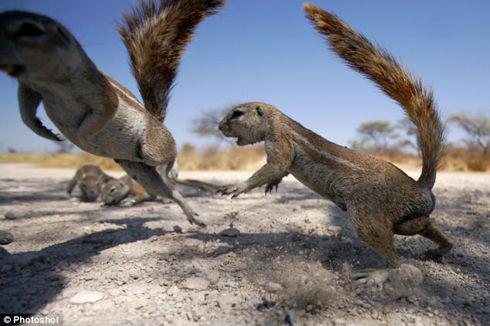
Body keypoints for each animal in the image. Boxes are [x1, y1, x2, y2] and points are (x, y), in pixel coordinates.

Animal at [0, 0, 225, 228]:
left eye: (29, 29)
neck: (50, 84)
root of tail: (155, 120)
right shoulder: (30, 87)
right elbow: (26, 111)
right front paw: (44, 130)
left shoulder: (101, 92)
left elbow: (103, 111)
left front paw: (81, 135)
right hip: (138, 170)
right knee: (170, 192)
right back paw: (189, 213)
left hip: (151, 151)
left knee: (171, 155)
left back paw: (173, 170)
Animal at [220, 3, 454, 282]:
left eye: (237, 113)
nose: (219, 126)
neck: (277, 120)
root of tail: (421, 188)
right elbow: (279, 170)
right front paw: (272, 185)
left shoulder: (280, 139)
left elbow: (276, 166)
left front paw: (237, 187)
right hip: (405, 220)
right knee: (424, 225)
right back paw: (441, 249)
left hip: (366, 216)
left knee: (396, 260)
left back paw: (377, 274)